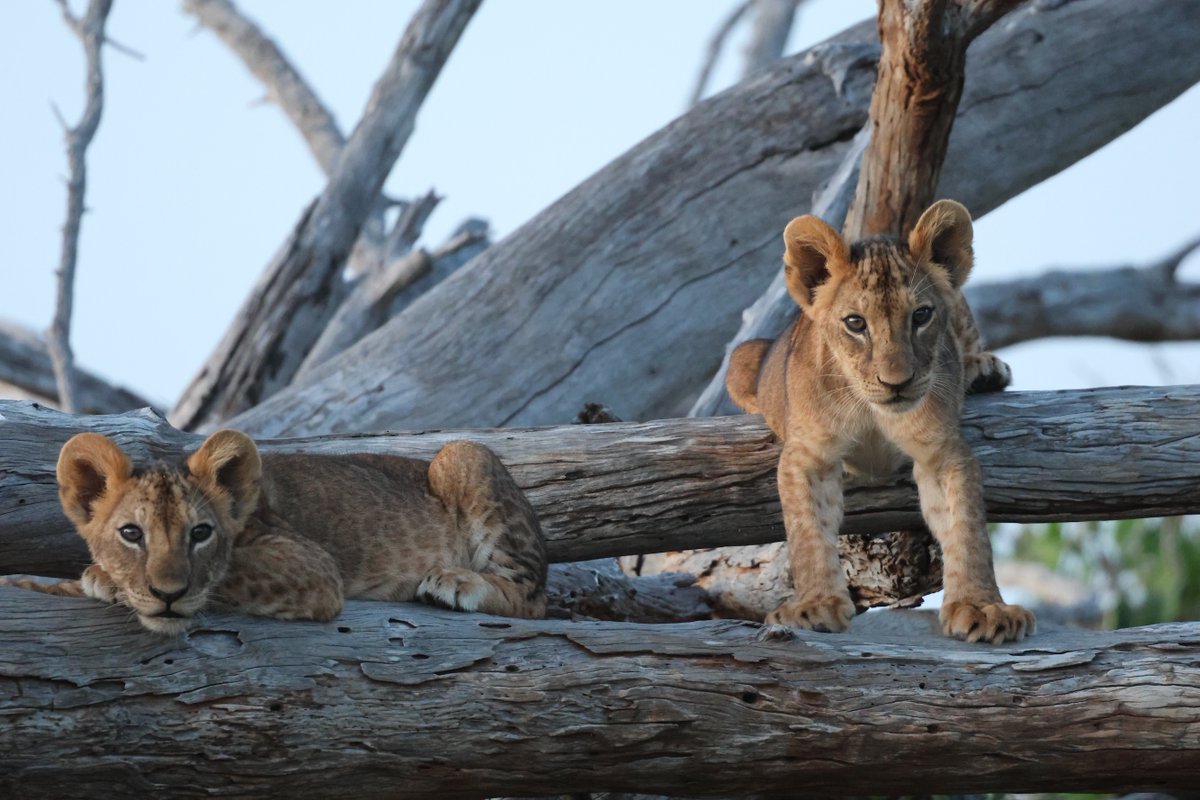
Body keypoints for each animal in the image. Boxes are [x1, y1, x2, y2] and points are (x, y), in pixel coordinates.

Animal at [1, 430, 547, 634]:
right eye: (131, 533)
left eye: (201, 533)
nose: (167, 595)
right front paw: (94, 576)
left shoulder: (313, 567)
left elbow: (225, 573)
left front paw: (110, 582)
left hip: (462, 453)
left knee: (531, 596)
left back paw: (455, 582)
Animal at [727, 199, 1034, 644]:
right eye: (855, 323)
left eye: (921, 316)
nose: (897, 383)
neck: (871, 410)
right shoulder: (809, 454)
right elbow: (808, 531)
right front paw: (814, 606)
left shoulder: (942, 451)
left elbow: (967, 528)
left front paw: (982, 607)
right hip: (743, 361)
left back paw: (982, 369)